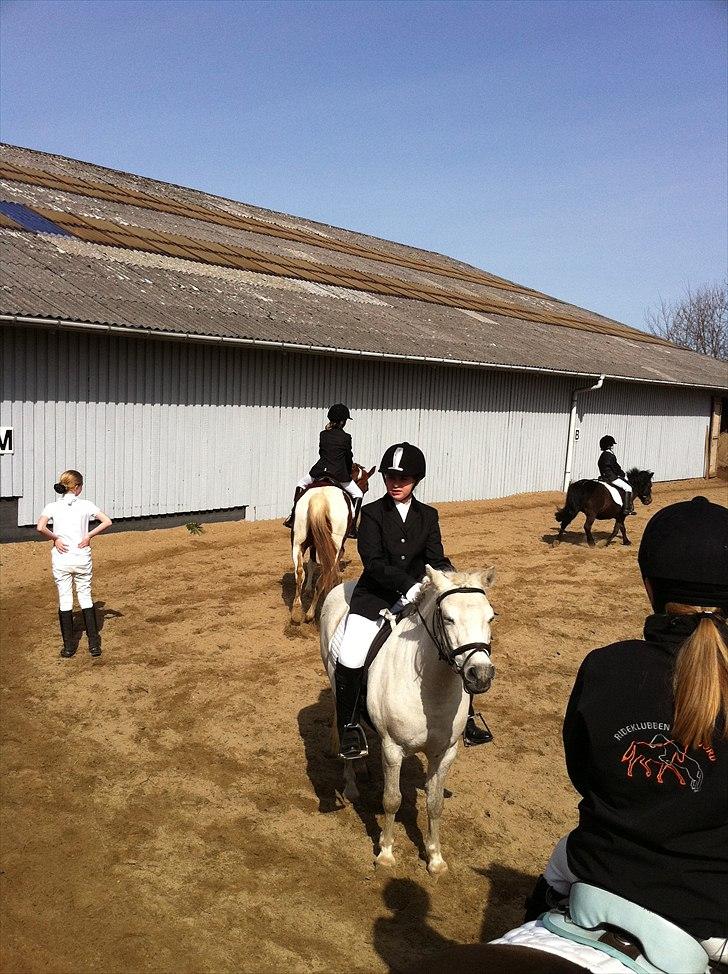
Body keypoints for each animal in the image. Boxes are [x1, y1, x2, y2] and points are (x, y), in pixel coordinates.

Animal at [318, 564, 494, 876]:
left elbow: (434, 803)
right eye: (448, 618)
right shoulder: (392, 749)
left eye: (491, 617)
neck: (433, 690)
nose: (481, 675)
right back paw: (351, 782)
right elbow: (392, 800)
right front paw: (386, 854)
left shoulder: (445, 752)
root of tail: (343, 586)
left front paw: (435, 858)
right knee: (344, 720)